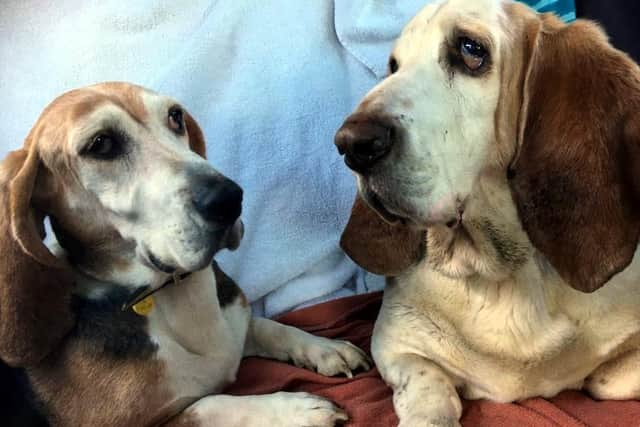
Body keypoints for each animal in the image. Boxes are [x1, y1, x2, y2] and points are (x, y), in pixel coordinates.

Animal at [0, 83, 370, 427]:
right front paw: (294, 409)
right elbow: (210, 404)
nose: (229, 198)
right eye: (101, 144)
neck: (173, 291)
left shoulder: (236, 324)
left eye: (175, 116)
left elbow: (268, 326)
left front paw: (325, 348)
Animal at [336, 0, 640, 426]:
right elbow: (427, 384)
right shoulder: (394, 341)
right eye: (393, 66)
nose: (352, 144)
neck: (501, 275)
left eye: (470, 49)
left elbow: (603, 380)